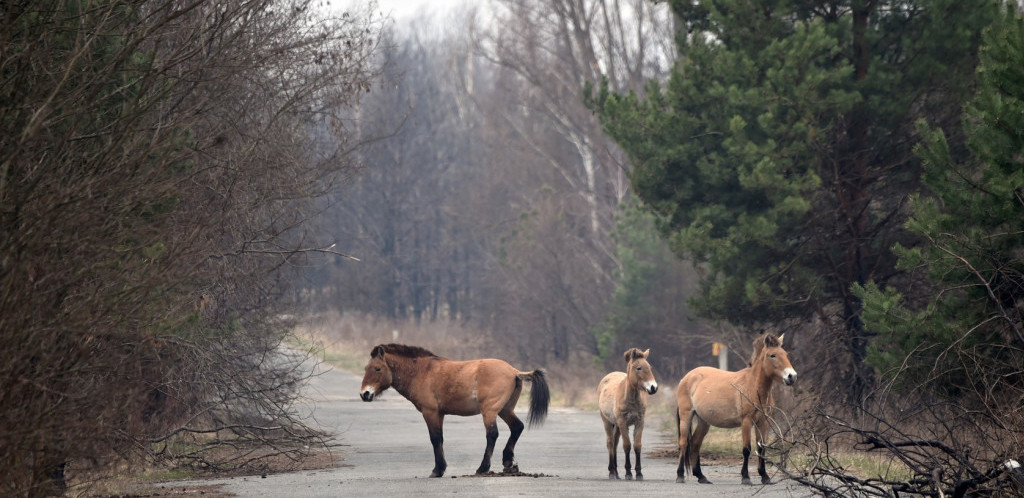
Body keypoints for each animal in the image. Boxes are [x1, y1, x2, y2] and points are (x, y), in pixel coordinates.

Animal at [362, 342, 552, 479]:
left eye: (378, 369)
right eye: (366, 369)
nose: (365, 394)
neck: (421, 372)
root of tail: (514, 371)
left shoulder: (430, 412)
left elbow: (435, 439)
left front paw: (437, 470)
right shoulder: (440, 414)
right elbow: (440, 439)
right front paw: (440, 468)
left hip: (490, 411)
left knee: (492, 435)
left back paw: (483, 468)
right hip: (505, 410)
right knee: (517, 427)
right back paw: (508, 463)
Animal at [598, 348, 659, 479]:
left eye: (650, 367)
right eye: (639, 368)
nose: (653, 388)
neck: (631, 399)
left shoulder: (640, 422)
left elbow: (637, 445)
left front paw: (639, 473)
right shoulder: (623, 423)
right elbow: (627, 445)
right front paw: (628, 473)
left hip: (617, 426)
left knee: (615, 443)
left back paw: (616, 472)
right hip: (607, 422)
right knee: (610, 442)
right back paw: (612, 472)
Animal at [675, 332, 794, 483]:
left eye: (785, 354)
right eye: (772, 355)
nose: (792, 376)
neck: (753, 386)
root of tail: (686, 377)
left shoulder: (763, 422)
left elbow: (761, 448)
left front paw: (765, 477)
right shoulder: (746, 421)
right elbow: (747, 449)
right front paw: (746, 477)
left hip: (703, 421)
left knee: (695, 443)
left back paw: (701, 476)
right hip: (686, 416)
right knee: (684, 444)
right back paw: (680, 475)